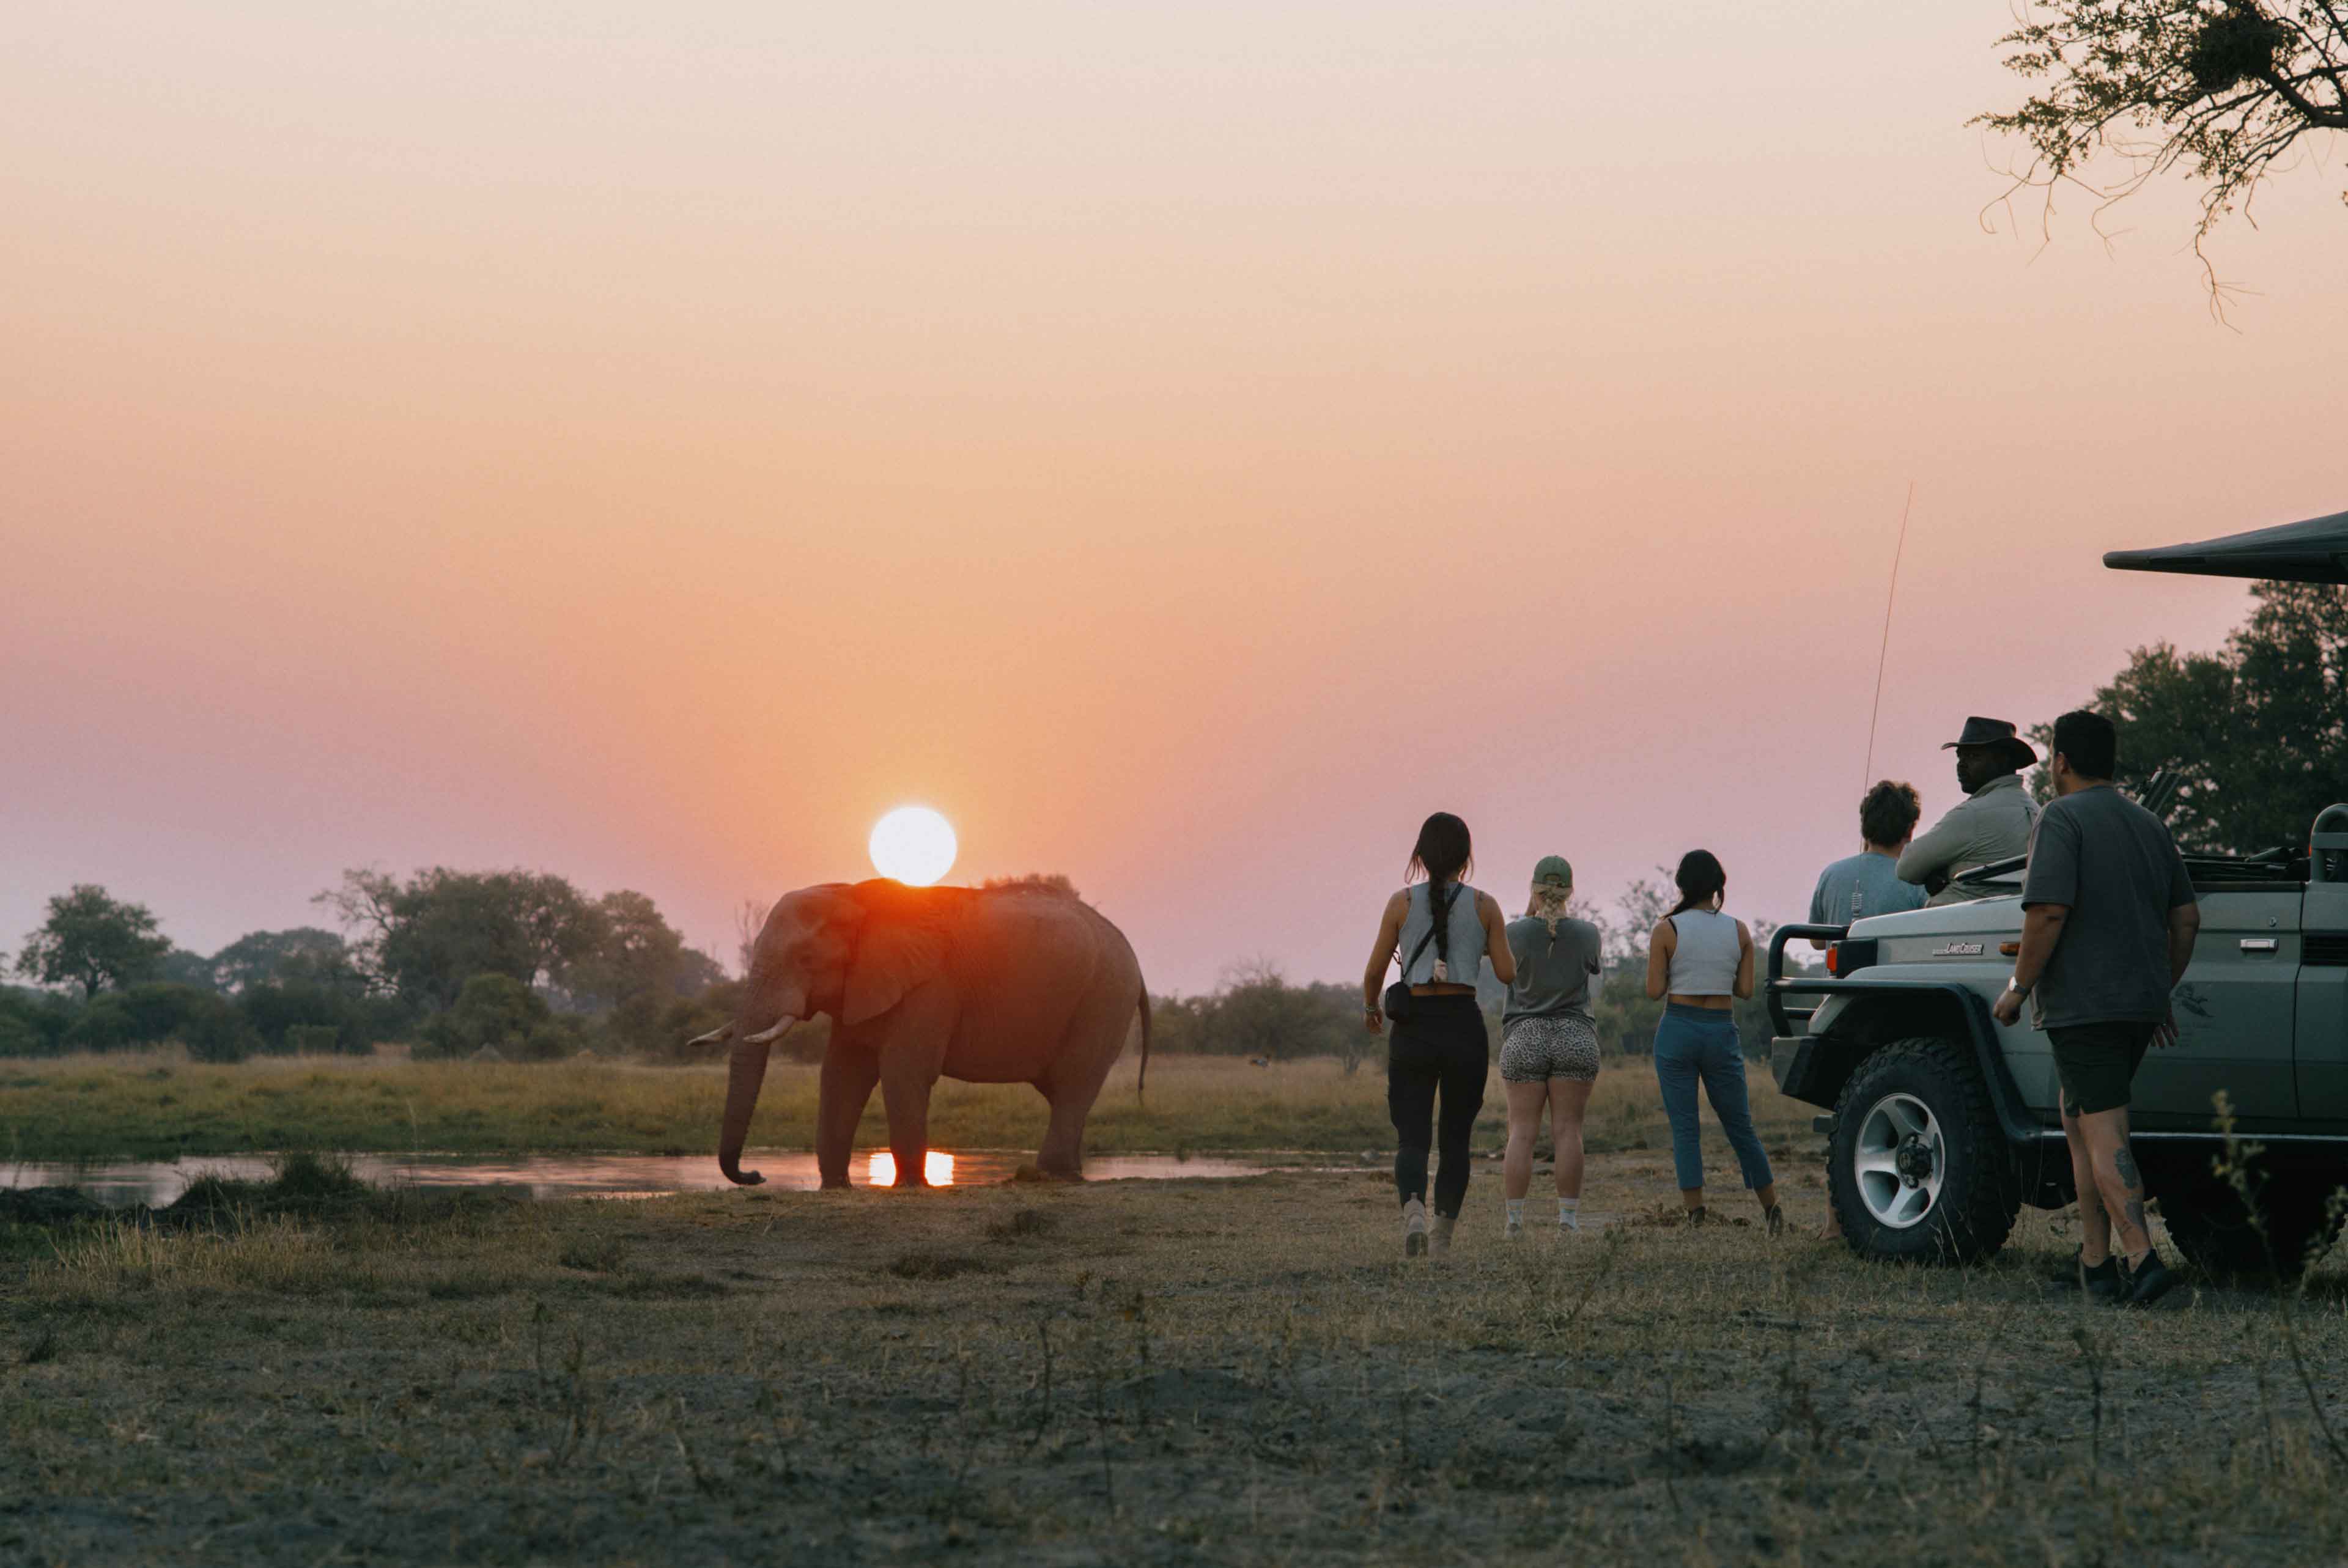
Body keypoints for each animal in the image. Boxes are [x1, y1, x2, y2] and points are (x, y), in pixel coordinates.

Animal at [691, 877, 1149, 1188]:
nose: (757, 1174)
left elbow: (903, 1073)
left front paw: (911, 1187)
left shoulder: (930, 987)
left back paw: (1044, 1175)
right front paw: (836, 1187)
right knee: (1064, 1093)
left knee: (1073, 1083)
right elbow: (841, 1074)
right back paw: (1069, 1173)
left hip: (1104, 998)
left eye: (805, 958)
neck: (855, 896)